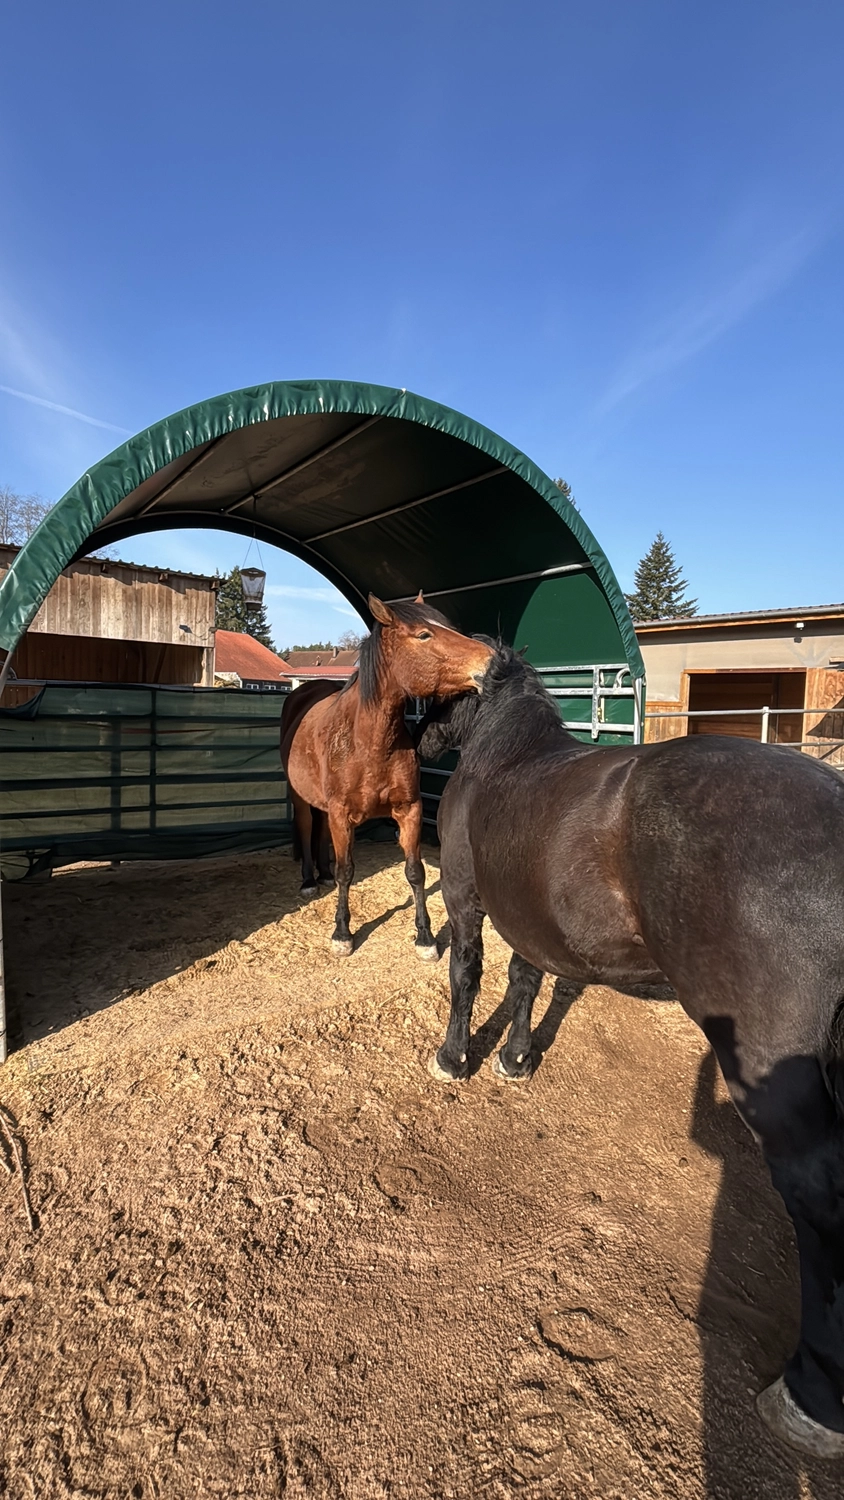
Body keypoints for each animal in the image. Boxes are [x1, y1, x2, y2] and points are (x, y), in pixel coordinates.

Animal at [280, 594, 493, 960]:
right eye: (424, 635)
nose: (492, 660)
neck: (369, 740)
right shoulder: (342, 815)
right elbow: (346, 871)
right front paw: (342, 934)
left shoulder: (410, 810)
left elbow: (415, 872)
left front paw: (425, 938)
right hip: (301, 797)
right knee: (308, 828)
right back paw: (309, 880)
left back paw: (322, 875)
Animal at [416, 644, 844, 1461]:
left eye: (437, 693)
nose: (416, 742)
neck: (503, 753)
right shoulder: (531, 921)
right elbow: (525, 981)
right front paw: (516, 1060)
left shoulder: (463, 894)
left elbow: (468, 973)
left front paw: (454, 1059)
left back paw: (811, 1398)